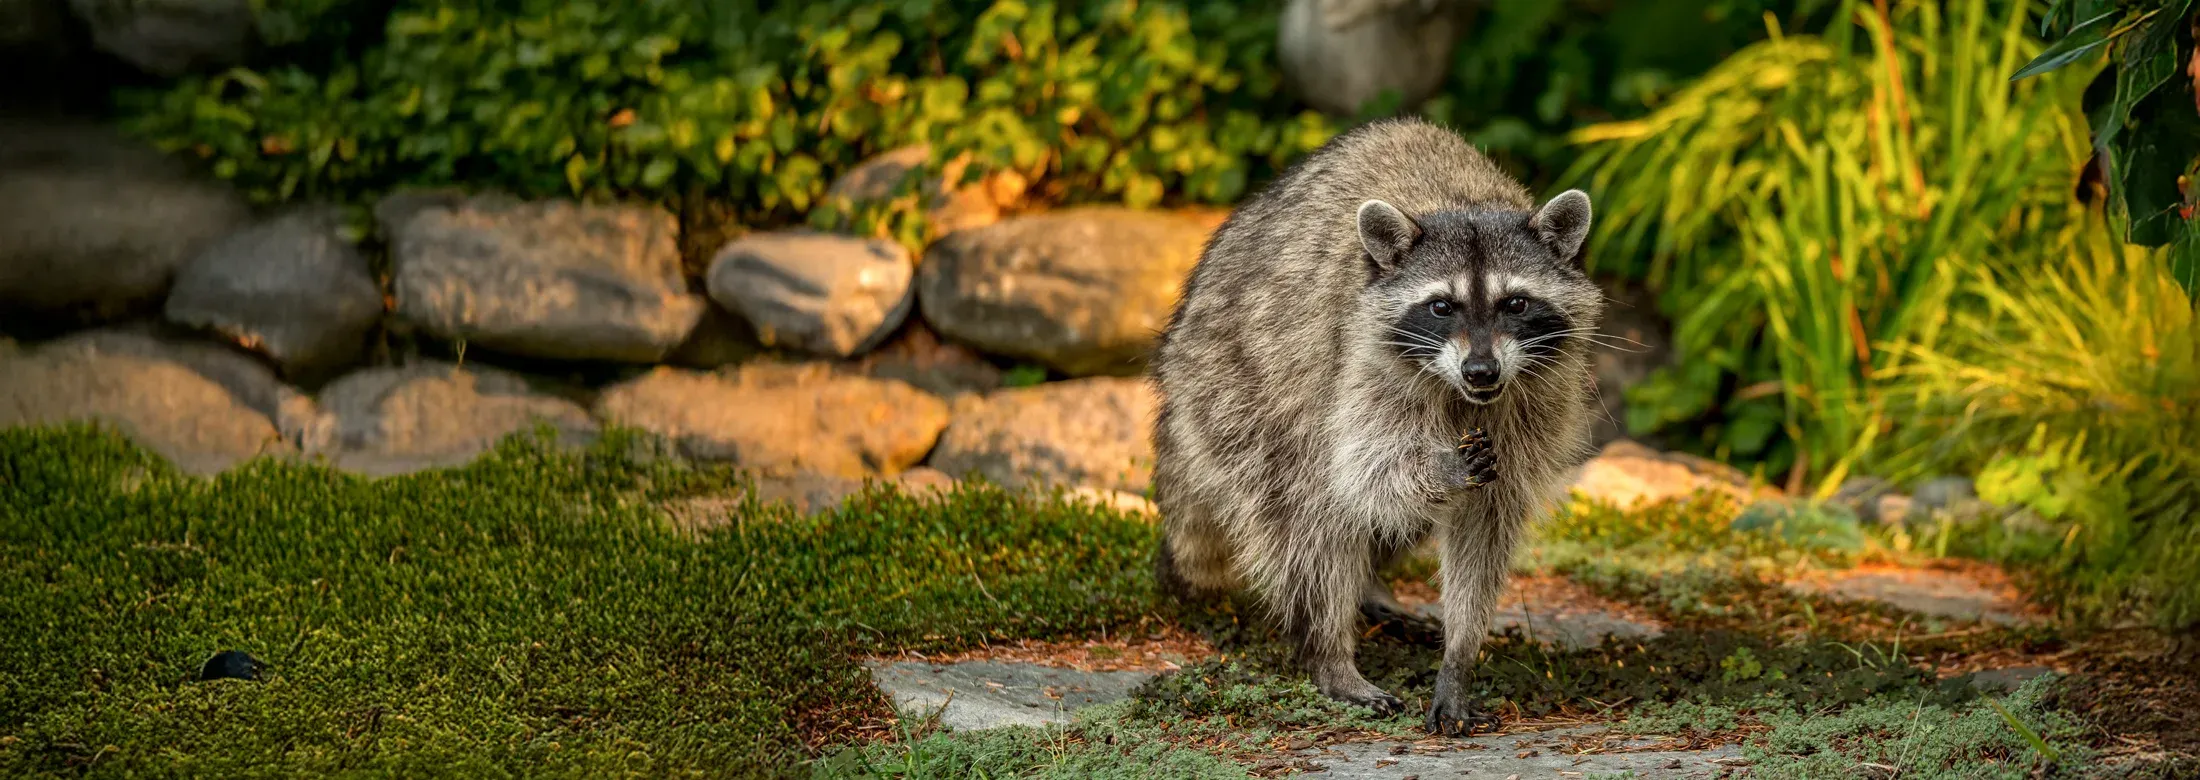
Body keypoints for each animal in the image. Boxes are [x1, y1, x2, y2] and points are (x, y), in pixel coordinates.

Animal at [1149, 117, 1605, 735]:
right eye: (1441, 306)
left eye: (1516, 303)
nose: (1481, 370)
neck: (1462, 203)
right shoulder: (1361, 360)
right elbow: (1364, 471)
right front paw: (1442, 468)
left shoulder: (1535, 397)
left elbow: (1485, 520)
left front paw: (1460, 654)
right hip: (1241, 387)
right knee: (1309, 509)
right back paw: (1329, 651)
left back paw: (1370, 590)